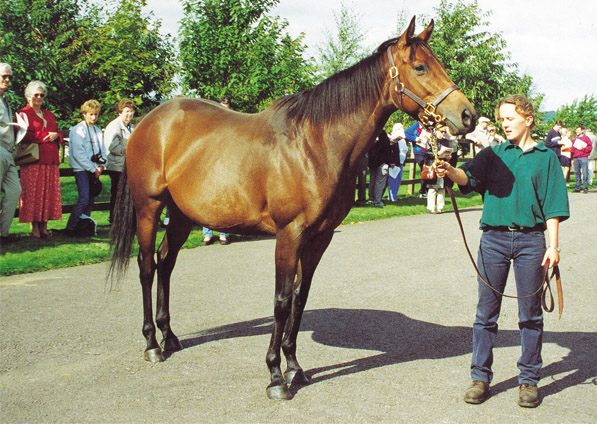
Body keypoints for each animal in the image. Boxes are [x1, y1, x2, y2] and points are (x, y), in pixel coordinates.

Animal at [109, 17, 474, 400]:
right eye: (420, 67)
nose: (467, 115)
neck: (315, 145)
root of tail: (149, 122)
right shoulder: (289, 234)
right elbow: (282, 300)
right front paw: (274, 376)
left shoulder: (319, 237)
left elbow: (301, 297)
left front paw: (295, 368)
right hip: (148, 208)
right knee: (147, 266)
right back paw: (152, 344)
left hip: (182, 214)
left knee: (166, 263)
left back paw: (170, 336)